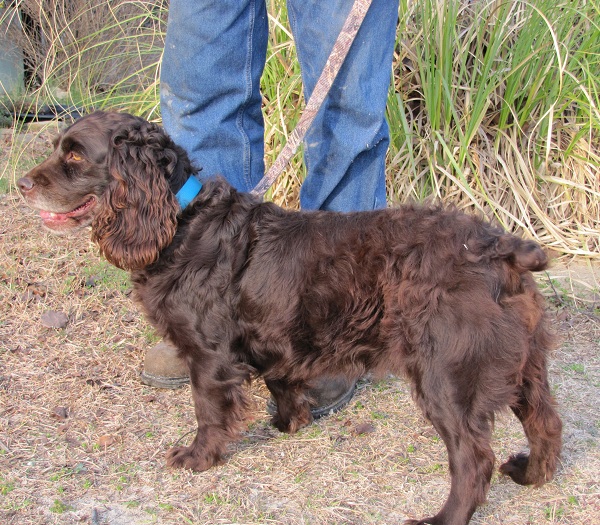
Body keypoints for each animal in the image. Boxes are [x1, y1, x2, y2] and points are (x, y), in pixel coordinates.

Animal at [18, 111, 564, 524]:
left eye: (74, 157)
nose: (21, 183)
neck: (179, 220)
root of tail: (499, 248)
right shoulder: (274, 336)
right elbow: (281, 380)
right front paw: (288, 423)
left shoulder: (210, 355)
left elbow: (208, 411)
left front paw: (197, 458)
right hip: (525, 364)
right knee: (546, 423)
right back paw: (530, 474)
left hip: (446, 376)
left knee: (473, 459)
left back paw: (442, 518)